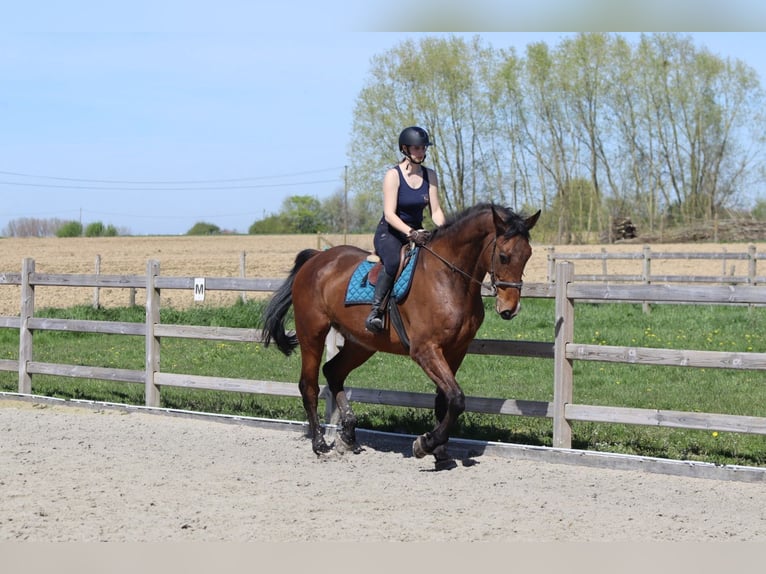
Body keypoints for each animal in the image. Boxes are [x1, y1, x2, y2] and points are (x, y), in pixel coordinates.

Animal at [261, 203, 540, 468]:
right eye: (503, 256)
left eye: (528, 255)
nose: (510, 309)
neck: (448, 279)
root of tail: (317, 258)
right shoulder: (425, 350)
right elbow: (457, 399)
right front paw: (424, 444)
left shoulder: (456, 350)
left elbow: (445, 401)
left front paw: (439, 453)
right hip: (312, 334)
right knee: (308, 385)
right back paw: (319, 443)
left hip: (361, 344)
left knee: (333, 372)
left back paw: (349, 435)